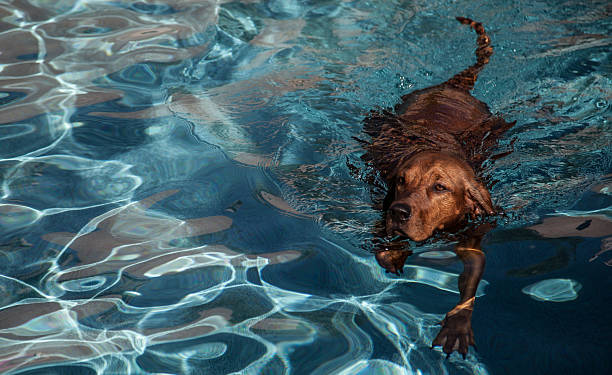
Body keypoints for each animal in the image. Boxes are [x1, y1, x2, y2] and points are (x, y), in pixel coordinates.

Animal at [360, 16, 512, 358]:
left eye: (440, 187)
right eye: (401, 181)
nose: (399, 211)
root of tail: (450, 86)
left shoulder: (473, 237)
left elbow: (470, 288)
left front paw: (457, 326)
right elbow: (382, 242)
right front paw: (393, 253)